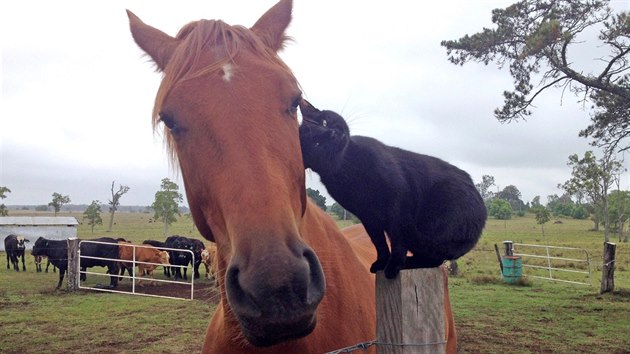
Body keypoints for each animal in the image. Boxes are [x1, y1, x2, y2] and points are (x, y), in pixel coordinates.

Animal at [302, 99, 488, 280]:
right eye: (317, 143)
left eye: (325, 122)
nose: (332, 133)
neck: (348, 167)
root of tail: (483, 212)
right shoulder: (368, 217)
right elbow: (379, 243)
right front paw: (382, 263)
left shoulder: (398, 206)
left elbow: (398, 240)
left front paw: (393, 265)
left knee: (433, 257)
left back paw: (407, 263)